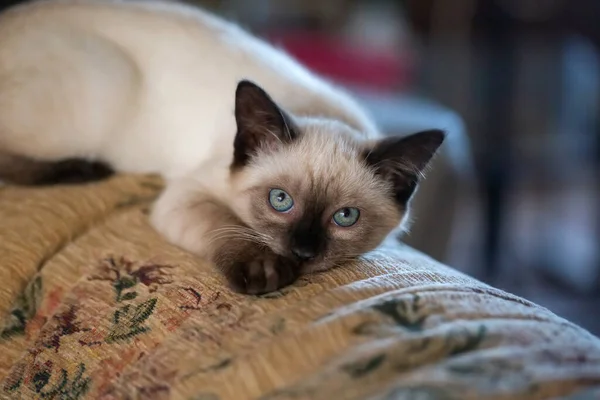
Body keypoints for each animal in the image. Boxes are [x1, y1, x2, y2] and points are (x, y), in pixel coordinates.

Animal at [0, 0, 446, 294]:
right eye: (280, 201)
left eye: (346, 217)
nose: (302, 251)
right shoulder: (188, 194)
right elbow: (225, 223)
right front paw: (264, 270)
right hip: (103, 91)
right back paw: (82, 169)